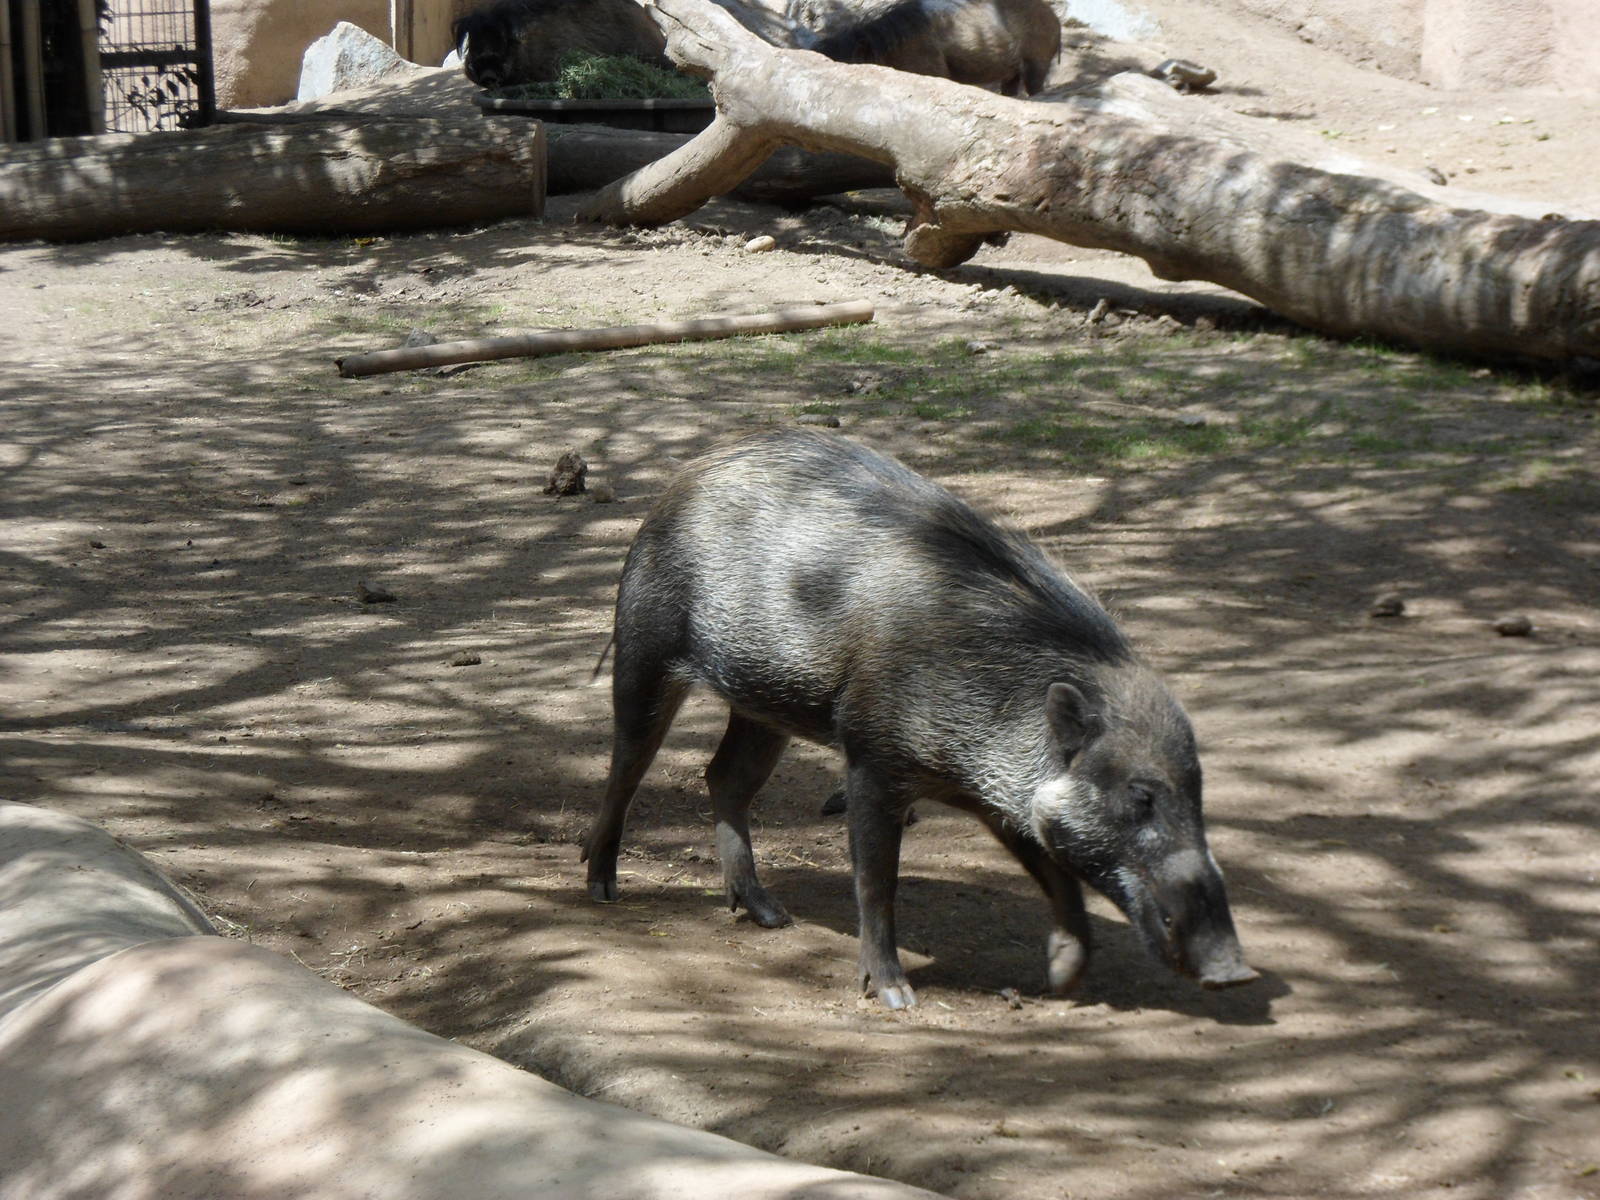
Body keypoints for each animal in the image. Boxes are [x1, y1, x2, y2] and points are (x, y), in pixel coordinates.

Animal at [582, 428, 1256, 1009]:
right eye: (1140, 795)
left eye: (1198, 791)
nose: (1236, 972)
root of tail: (683, 478)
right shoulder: (871, 758)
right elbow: (878, 881)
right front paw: (895, 996)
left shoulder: (1003, 798)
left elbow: (1056, 875)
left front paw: (1063, 980)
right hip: (645, 649)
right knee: (627, 765)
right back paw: (601, 887)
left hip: (763, 705)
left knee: (723, 778)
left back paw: (771, 917)